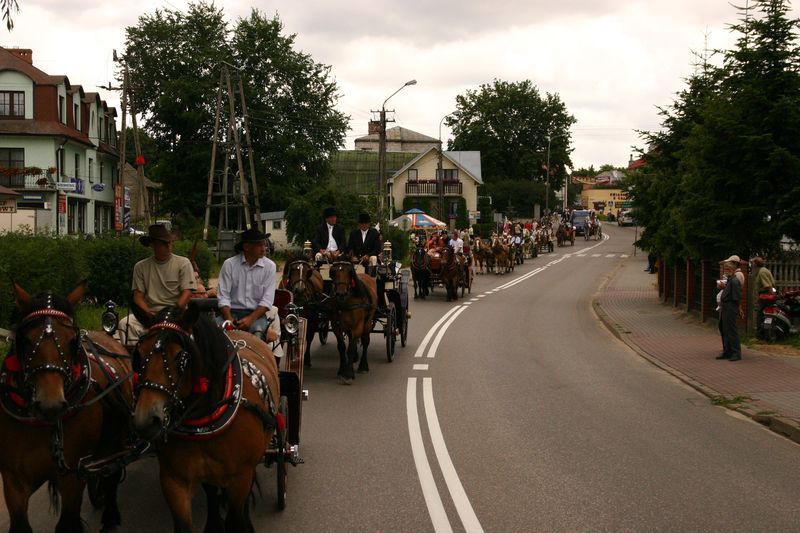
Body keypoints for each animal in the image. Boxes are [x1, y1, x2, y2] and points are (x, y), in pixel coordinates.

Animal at [1, 281, 133, 533]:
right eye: (26, 341)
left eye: (72, 341)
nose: (50, 405)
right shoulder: (13, 479)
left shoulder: (72, 478)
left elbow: (68, 523)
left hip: (116, 441)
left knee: (111, 475)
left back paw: (110, 517)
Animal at [132, 304, 279, 532]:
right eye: (138, 354)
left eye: (181, 357)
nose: (145, 420)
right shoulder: (174, 479)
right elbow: (185, 523)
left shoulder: (240, 478)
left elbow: (236, 519)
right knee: (211, 490)